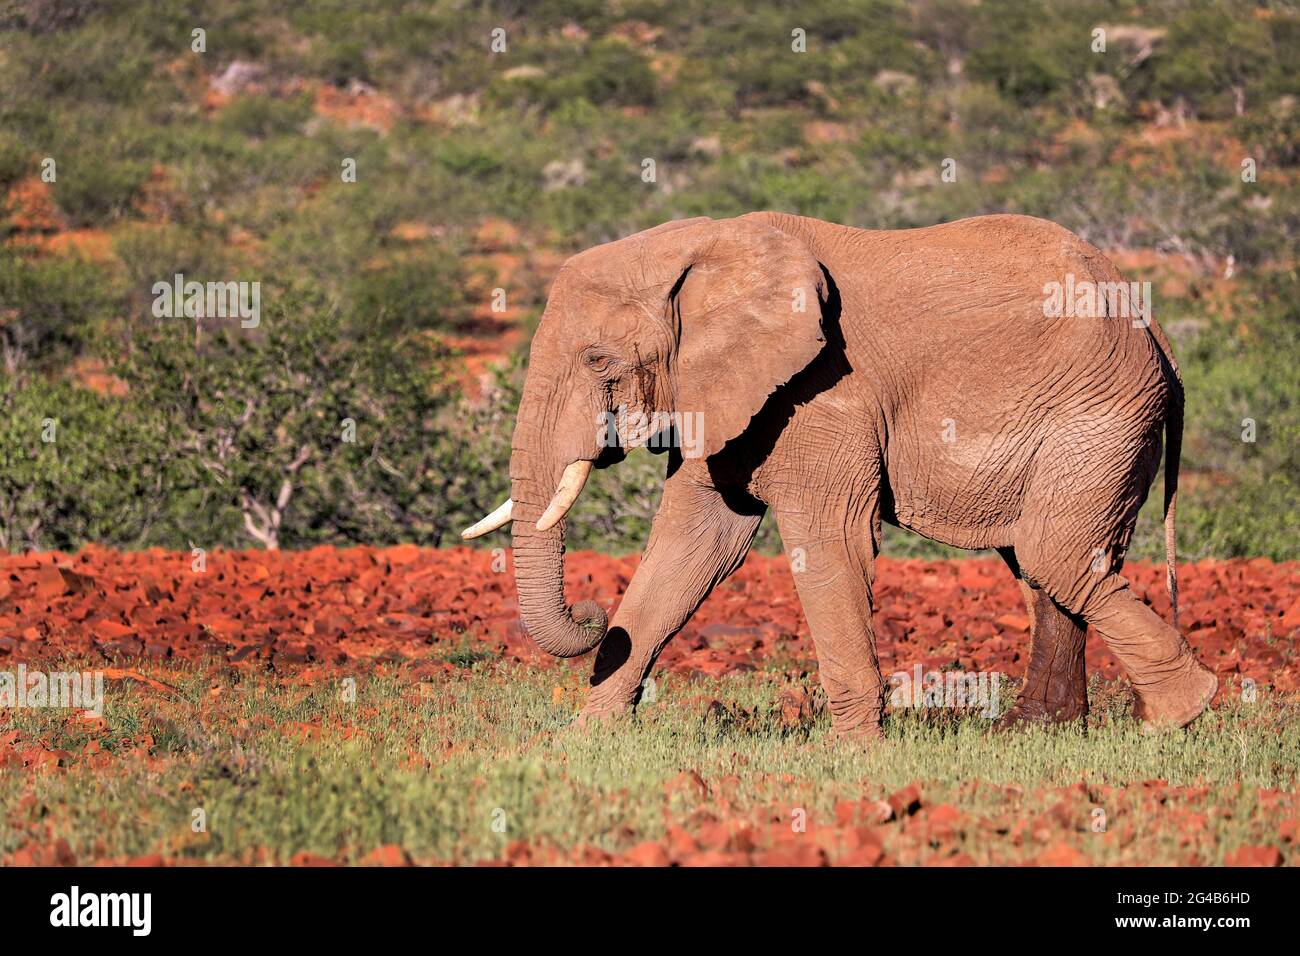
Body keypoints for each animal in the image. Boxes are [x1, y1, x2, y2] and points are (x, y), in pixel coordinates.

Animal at [465, 210, 1216, 738]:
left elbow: (828, 541)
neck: (705, 247)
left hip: (1099, 415)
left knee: (1053, 554)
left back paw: (1183, 713)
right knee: (1043, 564)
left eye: (598, 360)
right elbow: (696, 545)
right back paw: (1032, 732)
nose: (592, 615)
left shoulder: (827, 391)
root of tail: (1153, 327)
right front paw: (583, 740)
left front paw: (853, 751)